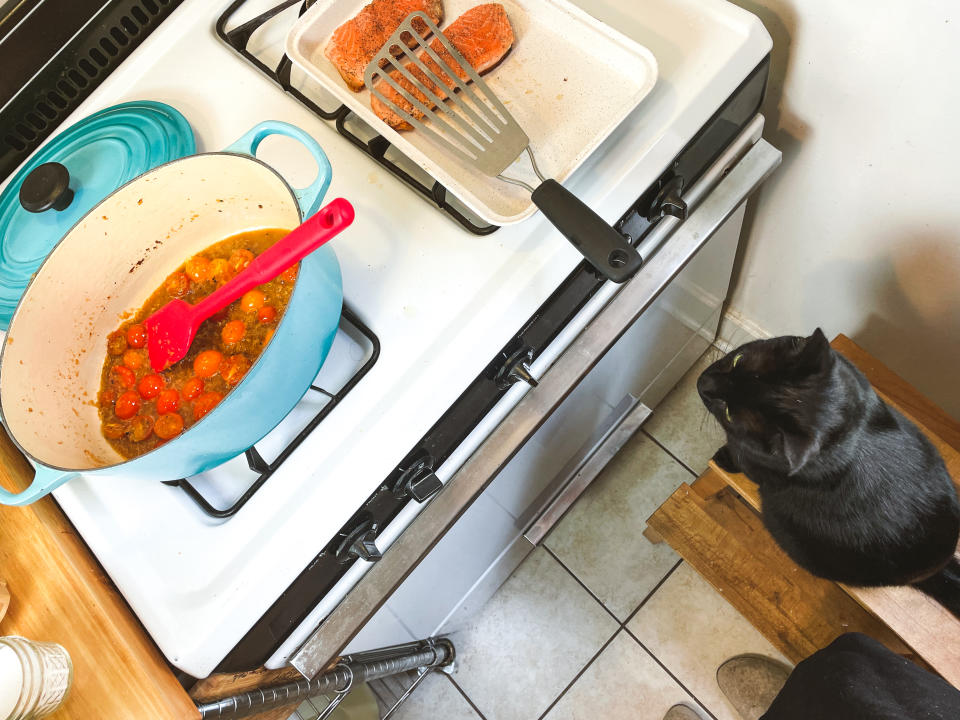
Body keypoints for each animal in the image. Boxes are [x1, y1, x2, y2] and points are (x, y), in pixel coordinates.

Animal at [696, 328, 960, 612]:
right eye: (737, 361)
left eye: (729, 413)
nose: (702, 383)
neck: (844, 428)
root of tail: (939, 568)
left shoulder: (754, 464)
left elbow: (739, 457)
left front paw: (724, 457)